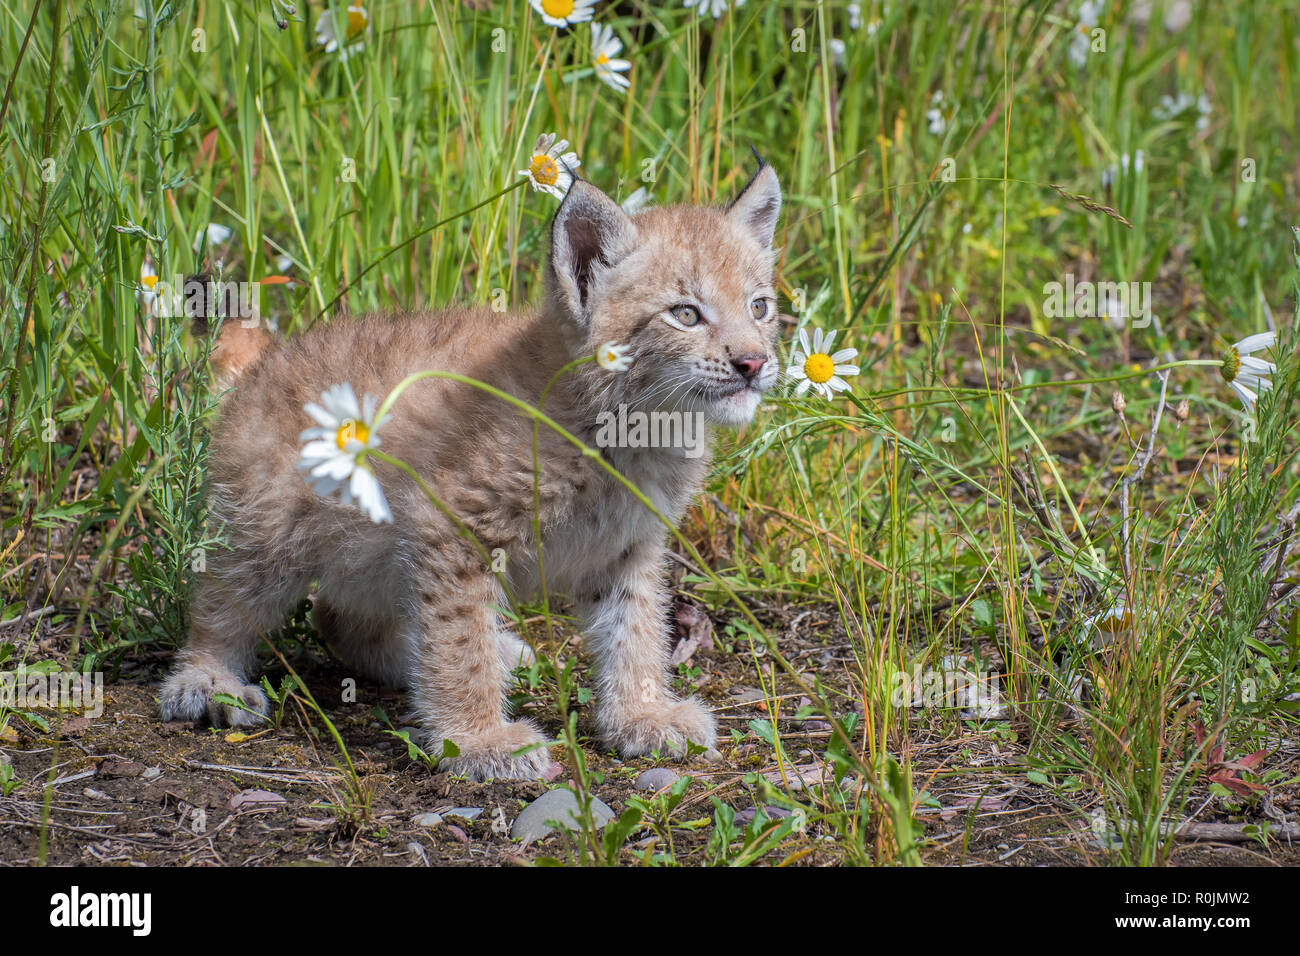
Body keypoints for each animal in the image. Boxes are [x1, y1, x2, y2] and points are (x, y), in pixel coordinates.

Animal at [161, 162, 780, 780]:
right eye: (685, 314)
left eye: (760, 307)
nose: (754, 362)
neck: (639, 427)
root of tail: (271, 359)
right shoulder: (453, 523)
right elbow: (459, 639)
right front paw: (478, 740)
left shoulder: (629, 542)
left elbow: (636, 626)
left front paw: (642, 715)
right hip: (269, 529)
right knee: (221, 603)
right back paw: (205, 681)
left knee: (336, 618)